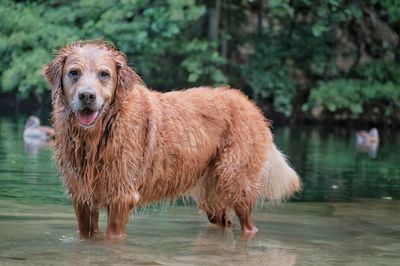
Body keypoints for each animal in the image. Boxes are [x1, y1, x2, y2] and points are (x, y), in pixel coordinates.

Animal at [44, 40, 300, 241]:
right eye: (74, 73)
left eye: (104, 74)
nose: (87, 96)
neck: (98, 135)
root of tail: (249, 104)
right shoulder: (82, 199)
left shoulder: (121, 197)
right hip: (212, 197)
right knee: (223, 223)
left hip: (237, 181)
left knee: (249, 225)